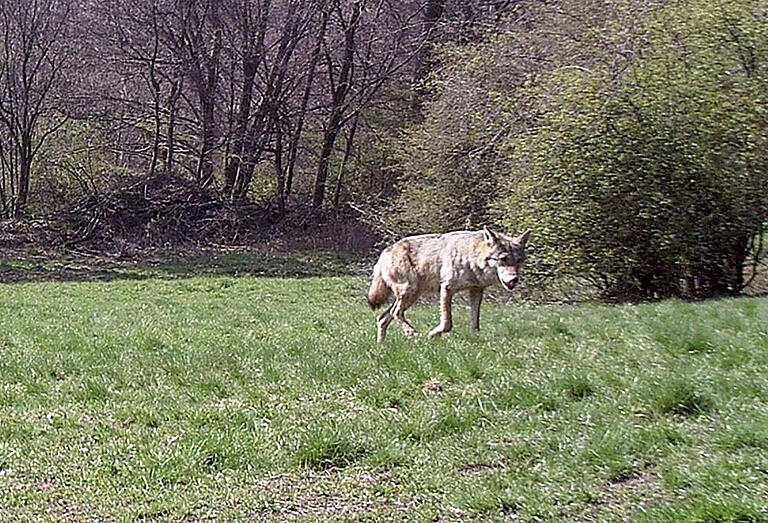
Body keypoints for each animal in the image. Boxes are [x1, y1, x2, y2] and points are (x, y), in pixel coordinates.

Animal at [368, 226, 532, 342]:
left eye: (518, 261)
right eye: (503, 259)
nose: (514, 279)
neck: (471, 257)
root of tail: (385, 252)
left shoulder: (476, 290)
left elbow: (475, 322)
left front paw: (475, 339)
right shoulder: (447, 288)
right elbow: (447, 323)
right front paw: (432, 334)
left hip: (411, 296)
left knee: (383, 318)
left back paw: (381, 347)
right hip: (410, 293)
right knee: (396, 313)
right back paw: (411, 333)